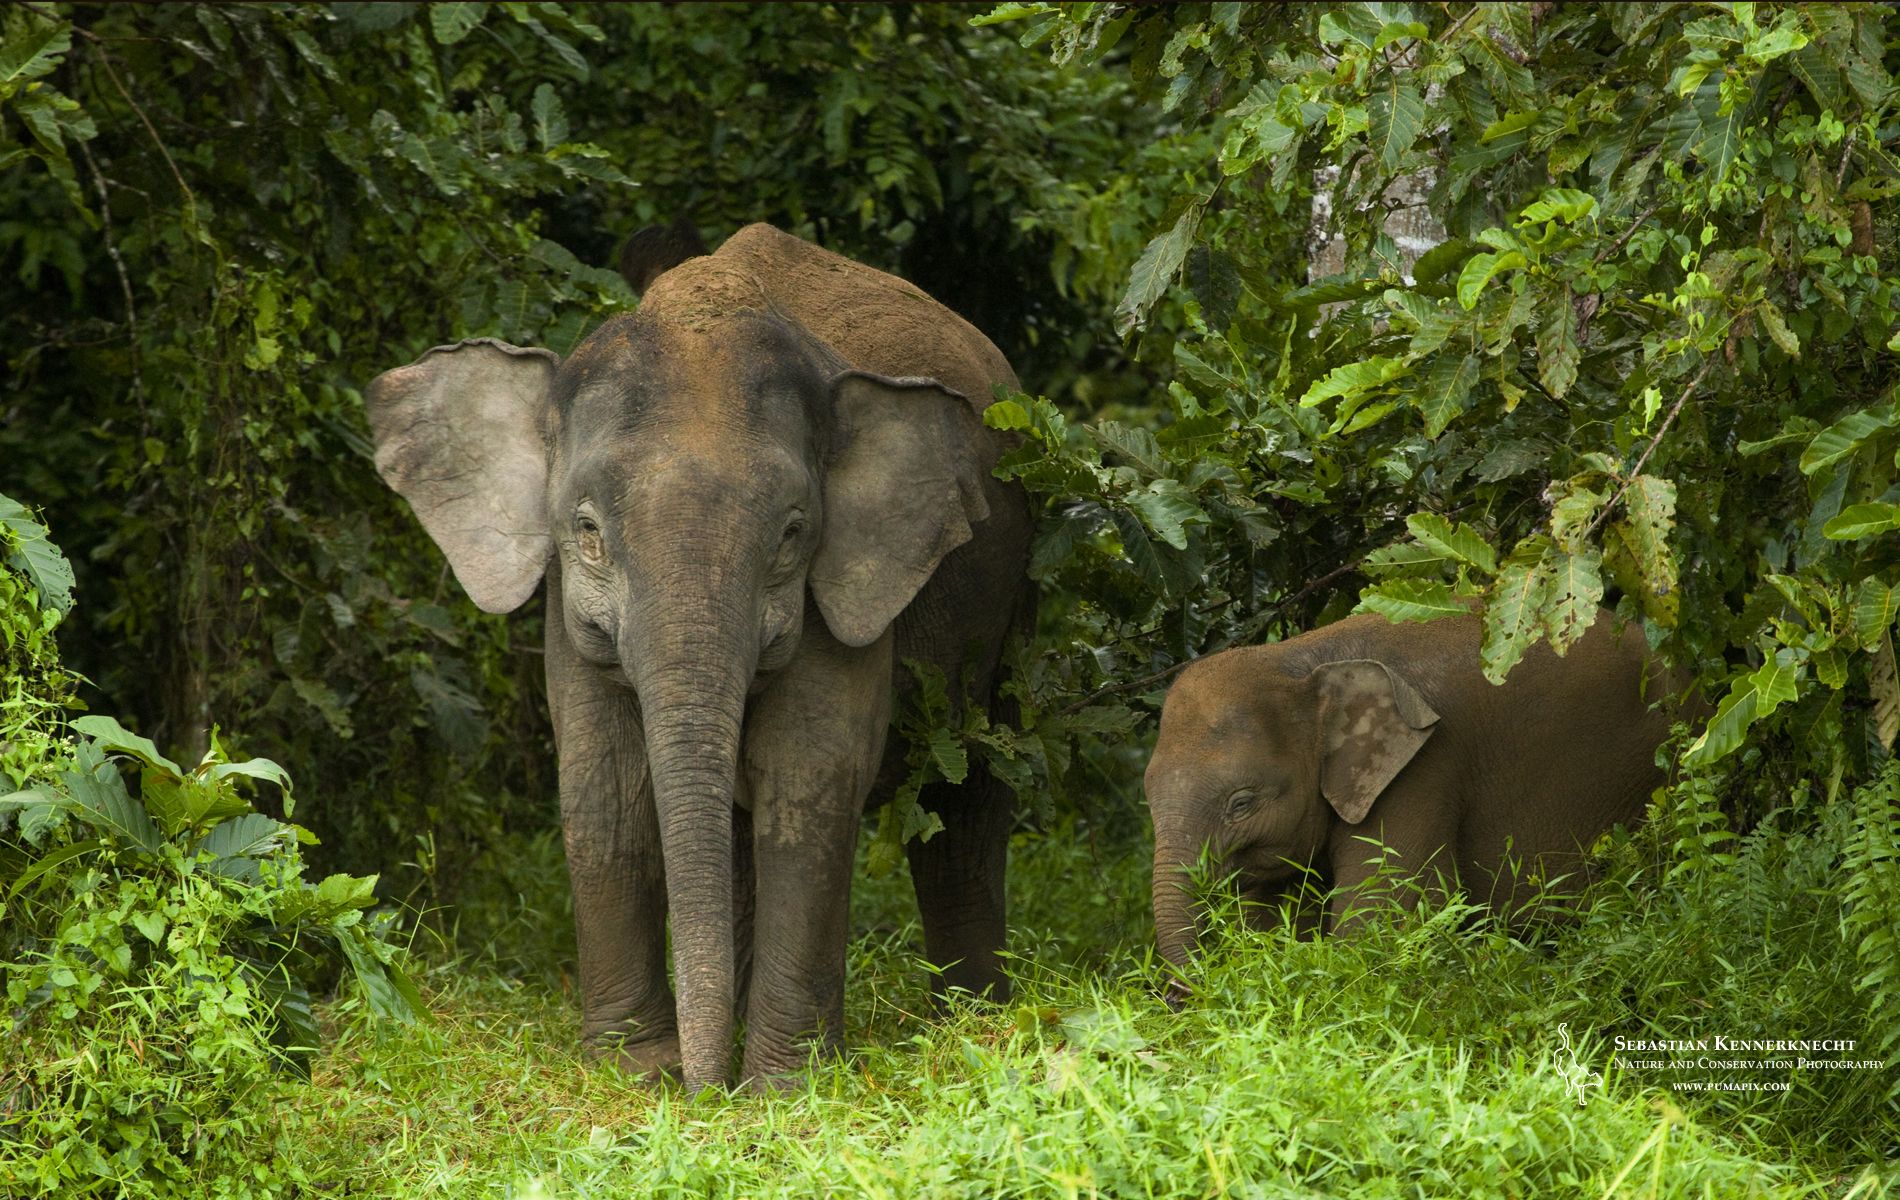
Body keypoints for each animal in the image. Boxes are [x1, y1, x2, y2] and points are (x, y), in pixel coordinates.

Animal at [361, 223, 1033, 1086]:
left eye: (791, 536)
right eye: (586, 530)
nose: (701, 1089)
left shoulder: (848, 587)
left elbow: (810, 781)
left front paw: (782, 1087)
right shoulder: (566, 605)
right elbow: (605, 787)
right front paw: (637, 1073)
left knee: (970, 794)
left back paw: (975, 1019)